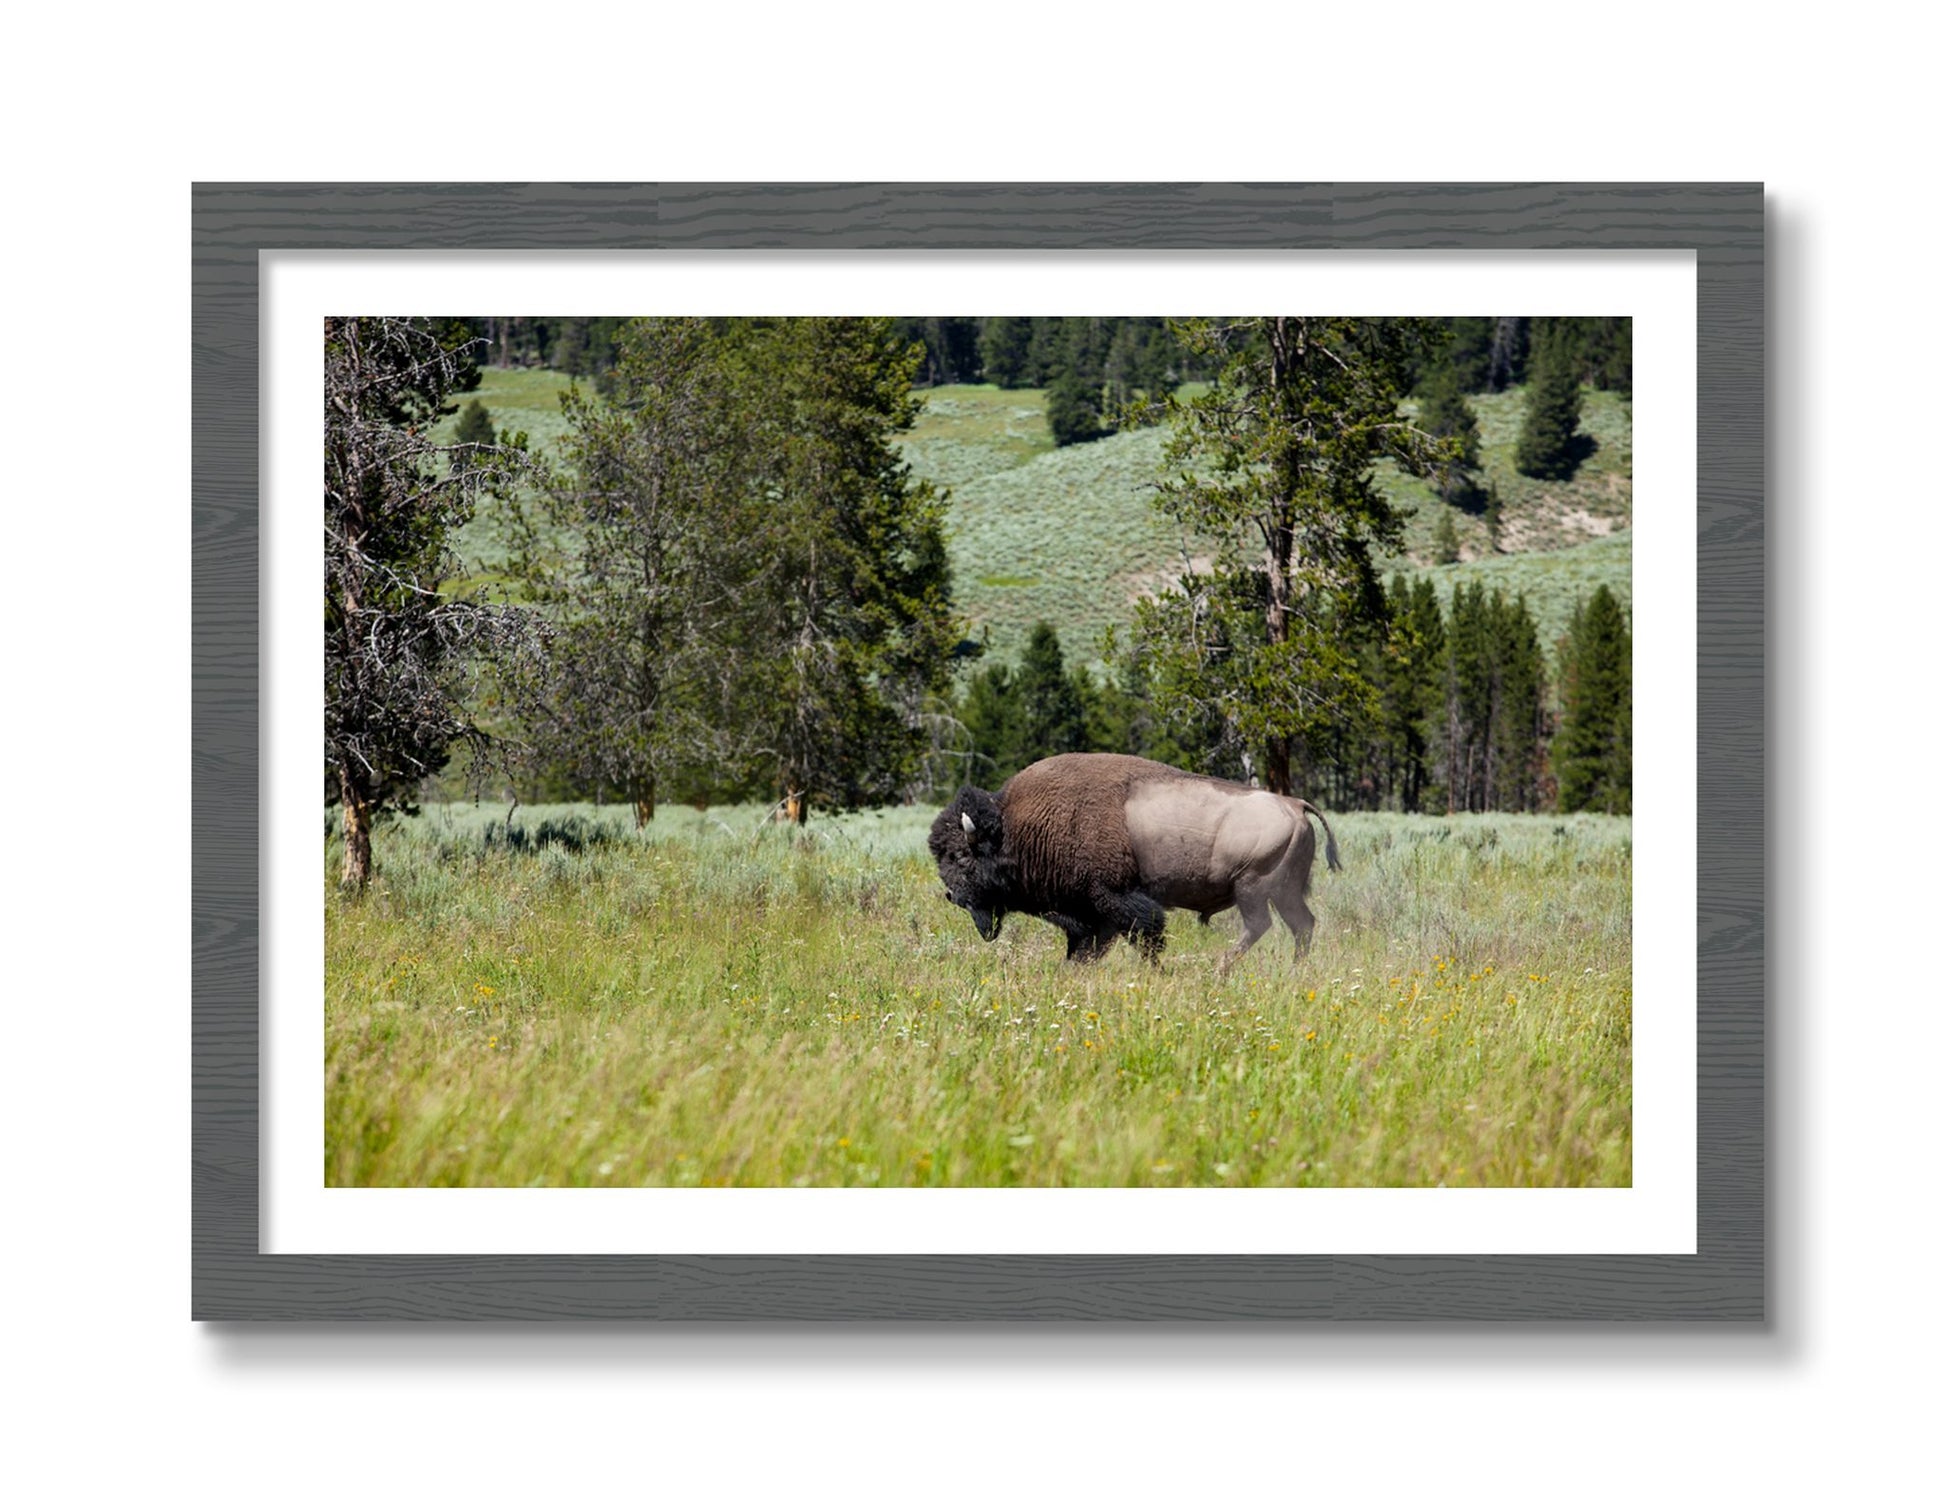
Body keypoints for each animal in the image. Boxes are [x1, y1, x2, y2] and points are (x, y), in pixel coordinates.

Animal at [927, 752, 1341, 969]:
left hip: (1252, 887)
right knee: (1302, 925)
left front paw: (1156, 971)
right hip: (1284, 891)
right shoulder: (1091, 914)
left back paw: (1220, 969)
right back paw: (1294, 969)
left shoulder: (1115, 899)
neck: (1016, 827)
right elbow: (1087, 947)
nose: (953, 896)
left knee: (1260, 925)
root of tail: (1294, 804)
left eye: (961, 856)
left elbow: (1145, 935)